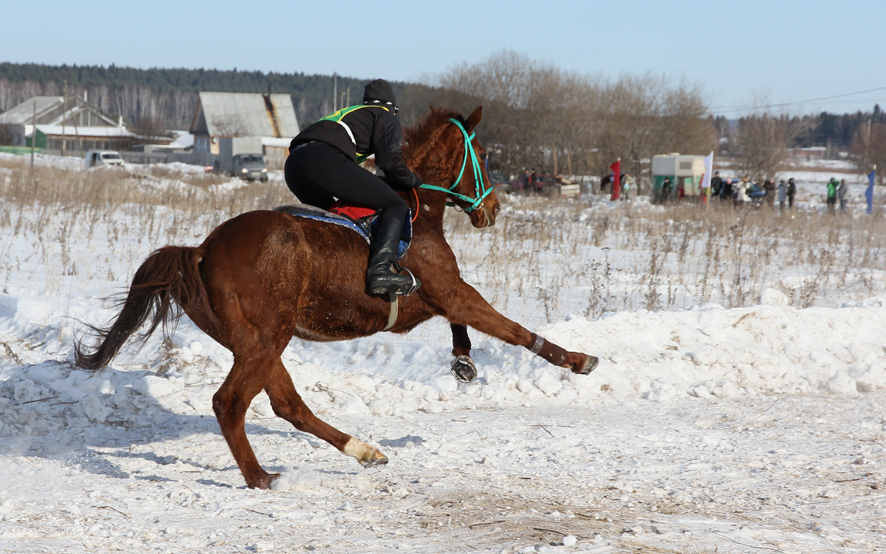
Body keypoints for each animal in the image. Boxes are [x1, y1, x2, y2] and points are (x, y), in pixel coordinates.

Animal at [76, 104, 604, 488]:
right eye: (484, 156)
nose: (492, 209)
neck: (418, 210)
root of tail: (202, 250)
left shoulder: (442, 296)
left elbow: (469, 325)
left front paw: (463, 361)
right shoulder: (451, 291)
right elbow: (511, 328)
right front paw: (577, 360)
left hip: (258, 341)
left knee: (288, 405)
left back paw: (362, 451)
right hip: (264, 339)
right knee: (230, 403)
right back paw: (261, 477)